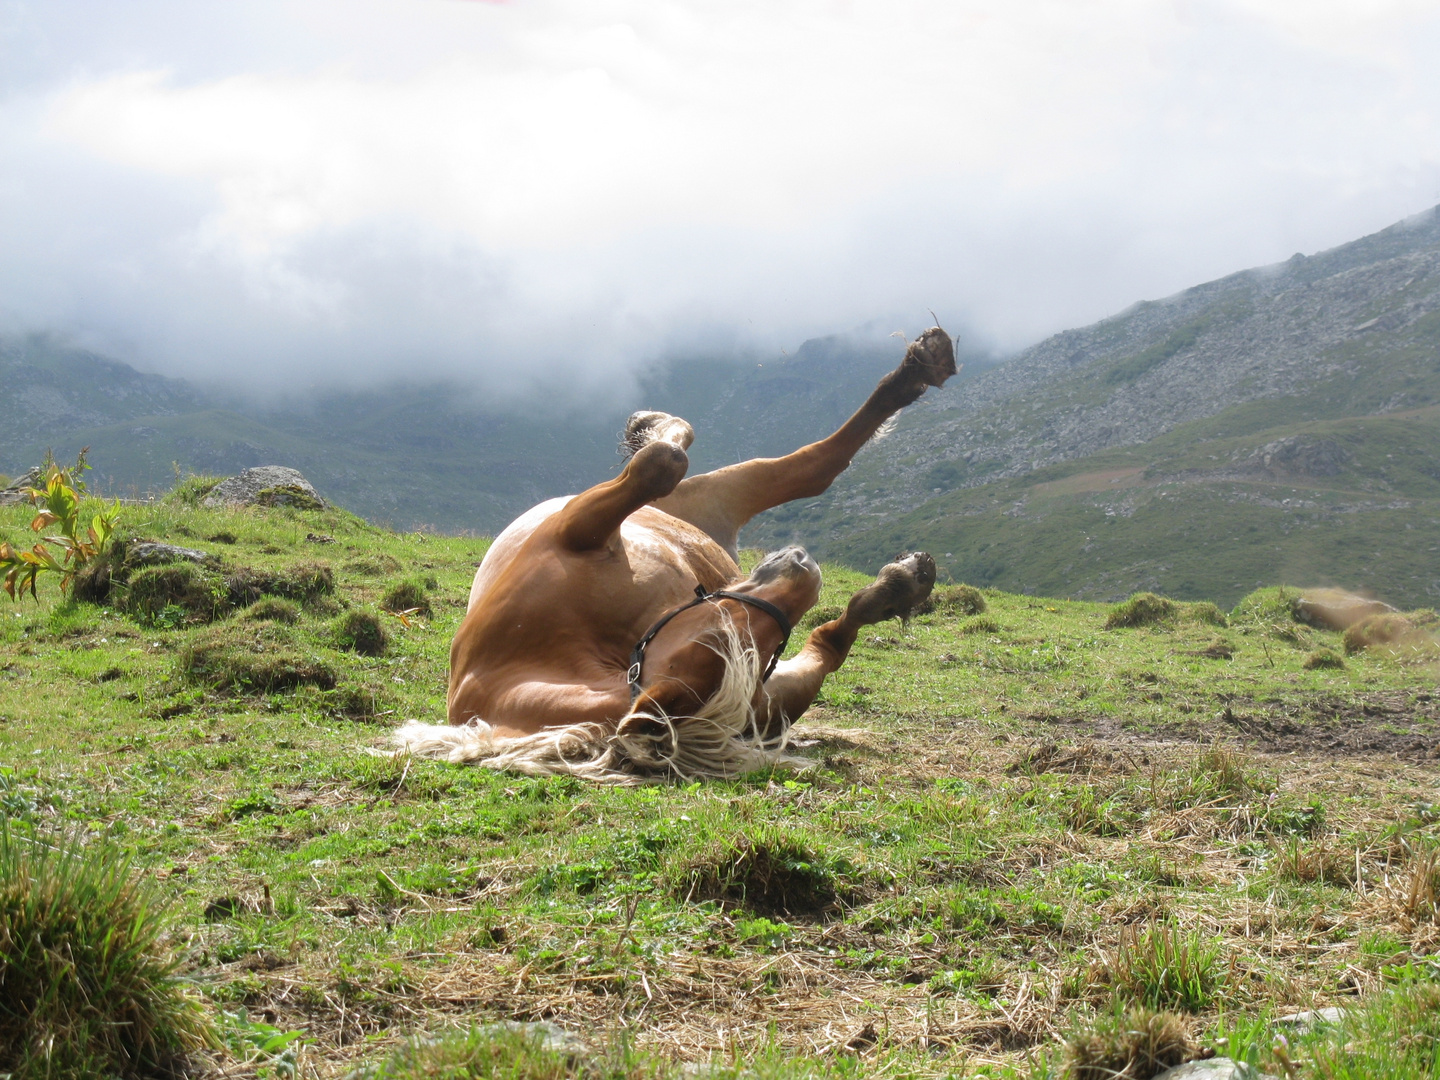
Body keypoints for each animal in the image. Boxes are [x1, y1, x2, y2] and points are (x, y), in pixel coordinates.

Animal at [397, 325, 956, 783]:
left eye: (768, 649)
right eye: (735, 634)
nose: (804, 566)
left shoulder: (576, 530)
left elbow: (660, 464)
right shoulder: (574, 531)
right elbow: (661, 465)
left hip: (719, 491)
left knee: (808, 467)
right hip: (710, 494)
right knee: (798, 468)